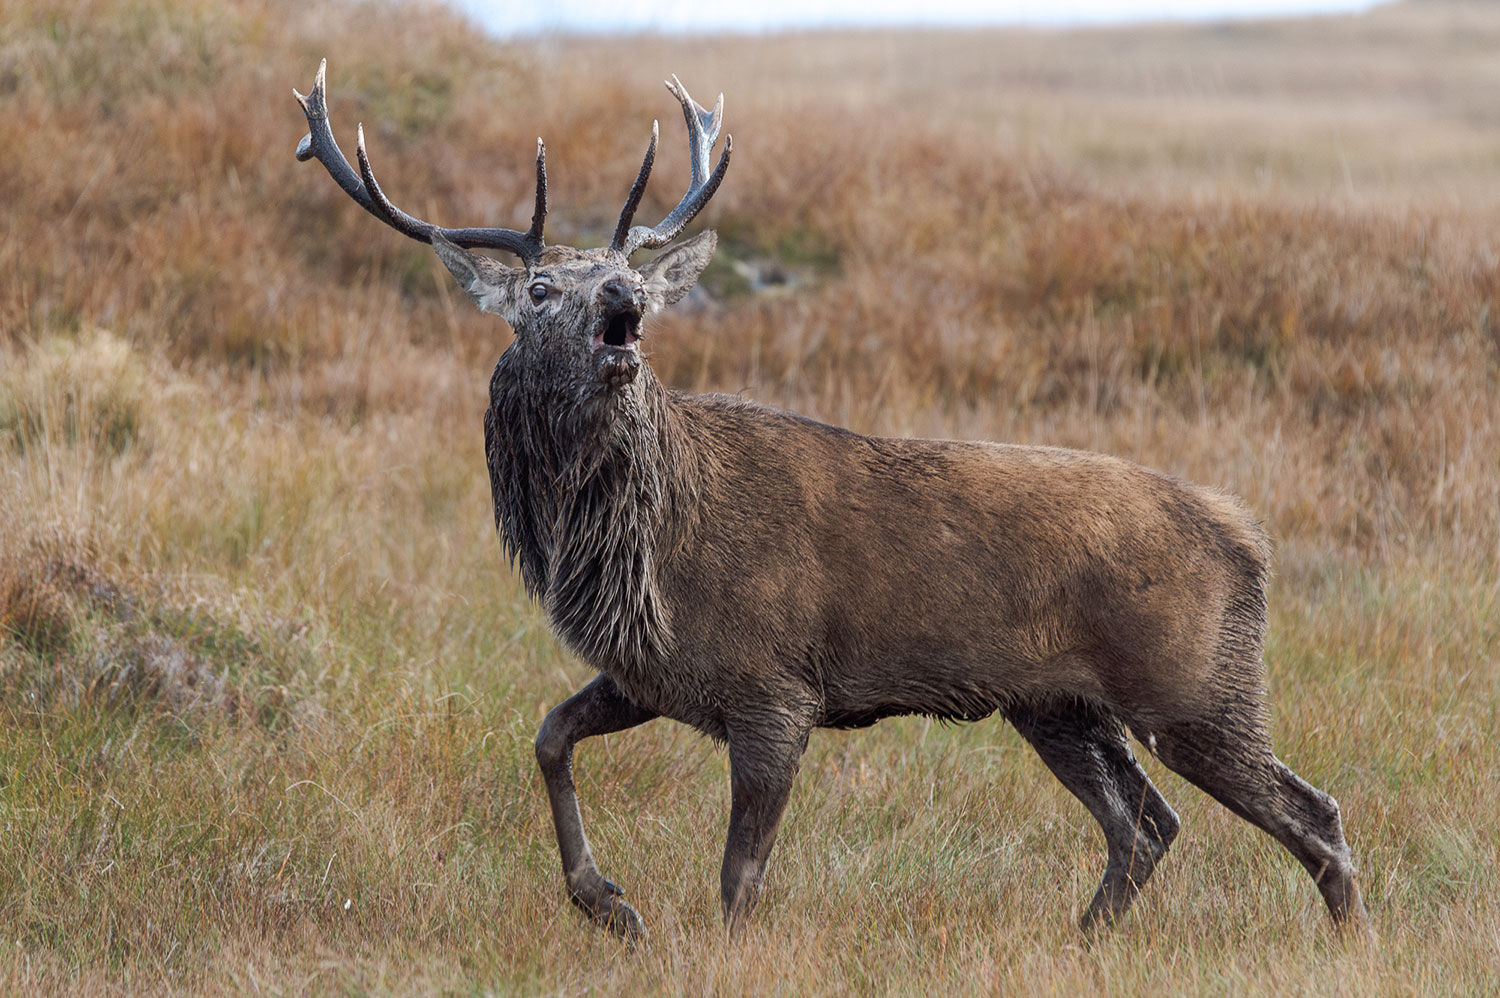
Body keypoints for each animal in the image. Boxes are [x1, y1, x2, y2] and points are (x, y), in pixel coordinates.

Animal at [292, 61, 1371, 942]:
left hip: (1193, 682)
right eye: (544, 289)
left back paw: (1351, 939)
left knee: (1308, 810)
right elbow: (550, 735)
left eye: (629, 271)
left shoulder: (776, 684)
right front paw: (610, 905)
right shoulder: (660, 672)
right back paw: (1083, 941)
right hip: (1058, 703)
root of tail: (1247, 533)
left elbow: (739, 877)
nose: (624, 305)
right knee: (1146, 822)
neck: (644, 555)